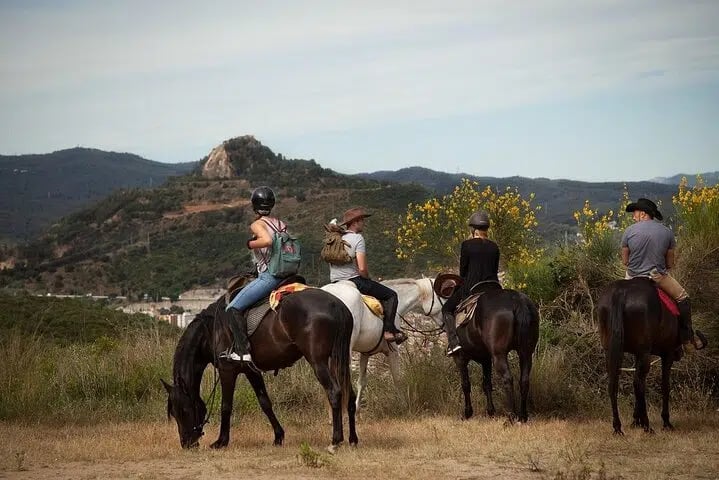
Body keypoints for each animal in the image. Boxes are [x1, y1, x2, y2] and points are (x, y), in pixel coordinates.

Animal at [161, 287, 358, 451]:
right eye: (174, 413)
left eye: (183, 410)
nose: (186, 443)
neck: (212, 330)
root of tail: (337, 305)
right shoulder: (251, 371)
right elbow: (265, 403)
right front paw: (278, 436)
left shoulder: (227, 371)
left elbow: (226, 406)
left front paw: (221, 441)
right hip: (339, 361)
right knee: (350, 396)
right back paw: (353, 439)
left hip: (319, 362)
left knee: (334, 392)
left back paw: (336, 440)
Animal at [320, 277, 443, 411]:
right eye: (443, 297)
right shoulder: (393, 350)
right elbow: (397, 378)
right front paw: (404, 405)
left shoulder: (365, 353)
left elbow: (361, 382)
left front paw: (357, 408)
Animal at [598, 277, 698, 435]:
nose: (679, 354)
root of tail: (620, 292)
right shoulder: (667, 354)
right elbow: (665, 385)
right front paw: (666, 422)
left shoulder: (637, 354)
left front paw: (635, 421)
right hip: (646, 352)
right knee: (639, 384)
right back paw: (647, 425)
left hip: (611, 350)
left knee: (615, 383)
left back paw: (618, 427)